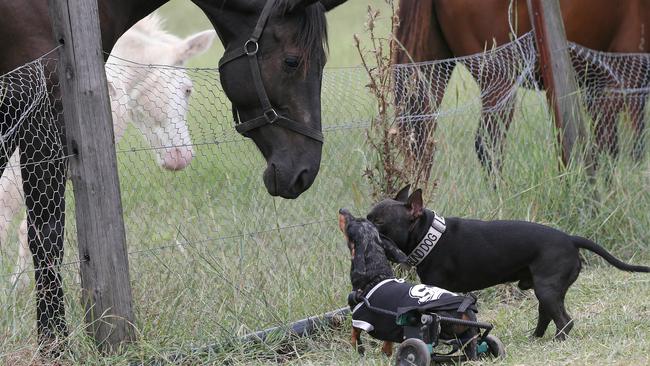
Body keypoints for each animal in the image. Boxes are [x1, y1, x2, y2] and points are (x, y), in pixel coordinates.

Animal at [0, 0, 344, 354]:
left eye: (187, 90)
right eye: (292, 61)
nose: (305, 170)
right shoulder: (39, 115)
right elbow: (44, 235)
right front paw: (53, 344)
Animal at [340, 209, 476, 358]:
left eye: (351, 225)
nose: (343, 210)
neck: (376, 276)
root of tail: (465, 310)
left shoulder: (359, 319)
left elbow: (354, 335)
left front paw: (359, 351)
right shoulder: (389, 327)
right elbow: (387, 344)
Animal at [368, 186, 644, 340]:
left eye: (379, 221)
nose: (363, 222)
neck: (429, 235)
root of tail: (571, 239)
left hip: (547, 289)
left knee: (564, 320)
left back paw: (558, 340)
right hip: (547, 290)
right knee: (546, 315)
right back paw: (535, 338)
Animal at [394, 0, 648, 173]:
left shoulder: (598, 86)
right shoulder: (626, 77)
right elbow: (626, 147)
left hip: (432, 70)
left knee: (421, 143)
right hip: (499, 82)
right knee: (488, 146)